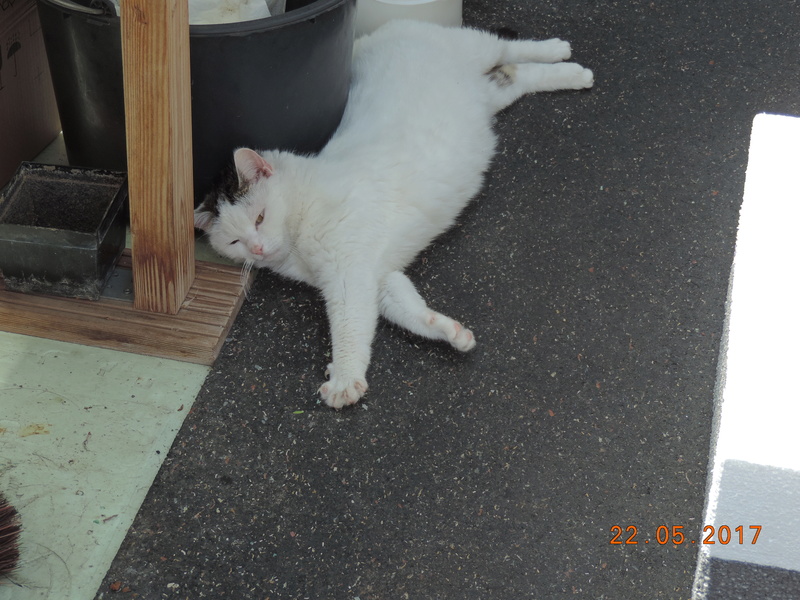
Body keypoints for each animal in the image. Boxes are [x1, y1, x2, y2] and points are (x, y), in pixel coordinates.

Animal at [194, 21, 592, 410]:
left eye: (260, 218)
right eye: (235, 241)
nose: (257, 250)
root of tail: (370, 35)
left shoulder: (349, 276)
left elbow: (350, 327)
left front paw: (344, 378)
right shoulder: (376, 275)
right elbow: (406, 308)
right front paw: (448, 331)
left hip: (473, 47)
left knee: (508, 47)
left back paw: (563, 55)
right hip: (489, 96)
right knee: (516, 75)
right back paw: (569, 73)